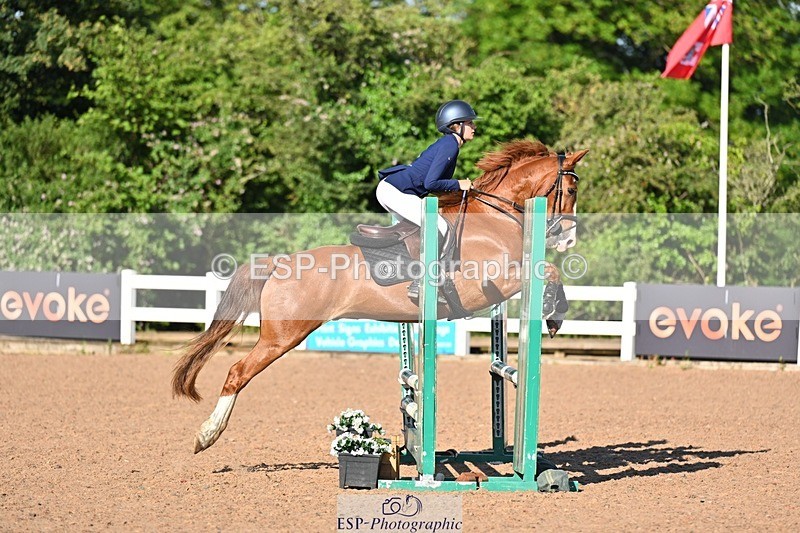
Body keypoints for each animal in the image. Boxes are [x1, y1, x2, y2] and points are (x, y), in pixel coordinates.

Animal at [172, 139, 588, 453]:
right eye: (571, 190)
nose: (568, 240)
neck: (494, 218)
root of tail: (280, 262)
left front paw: (554, 314)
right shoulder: (495, 282)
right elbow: (547, 271)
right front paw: (554, 314)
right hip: (282, 336)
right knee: (237, 372)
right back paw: (207, 435)